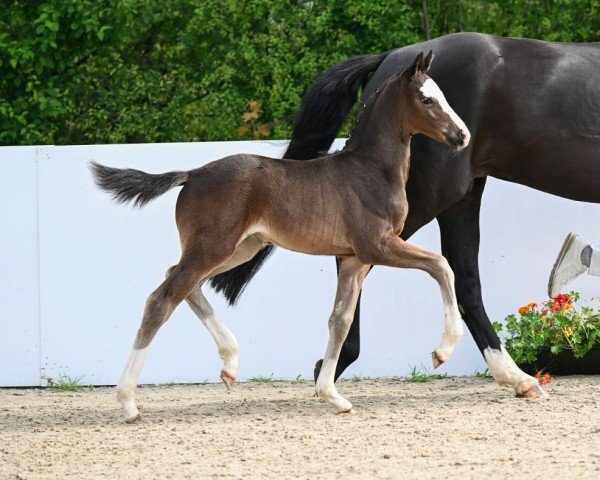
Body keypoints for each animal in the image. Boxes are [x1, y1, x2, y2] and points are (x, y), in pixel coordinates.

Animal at [91, 51, 472, 420]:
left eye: (442, 94)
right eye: (426, 98)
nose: (462, 135)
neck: (371, 171)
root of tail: (194, 173)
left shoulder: (353, 259)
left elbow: (340, 319)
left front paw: (331, 395)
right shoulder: (377, 245)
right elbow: (441, 265)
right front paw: (442, 350)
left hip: (237, 249)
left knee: (184, 283)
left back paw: (230, 363)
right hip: (214, 247)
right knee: (162, 299)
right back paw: (128, 402)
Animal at [211, 31, 600, 396]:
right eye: (427, 99)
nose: (461, 134)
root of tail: (391, 57)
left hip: (461, 197)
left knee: (463, 280)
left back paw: (515, 377)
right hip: (427, 199)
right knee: (369, 263)